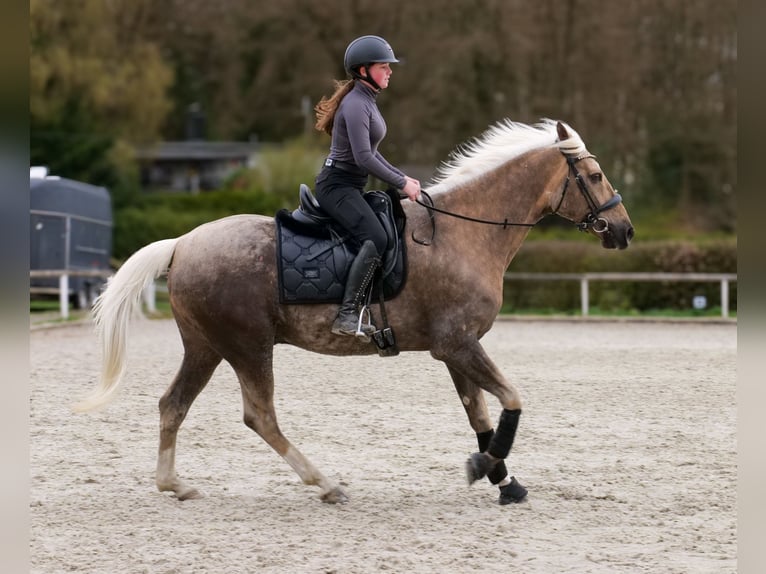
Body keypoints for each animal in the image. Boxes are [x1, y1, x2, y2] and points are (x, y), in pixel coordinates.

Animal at [75, 119, 634, 505]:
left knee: (173, 405)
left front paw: (502, 479)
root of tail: (182, 243)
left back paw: (175, 484)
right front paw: (488, 466)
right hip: (248, 346)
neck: (464, 232)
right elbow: (512, 399)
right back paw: (325, 484)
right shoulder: (457, 344)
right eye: (596, 175)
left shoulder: (456, 348)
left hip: (206, 347)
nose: (625, 231)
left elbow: (478, 412)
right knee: (260, 416)